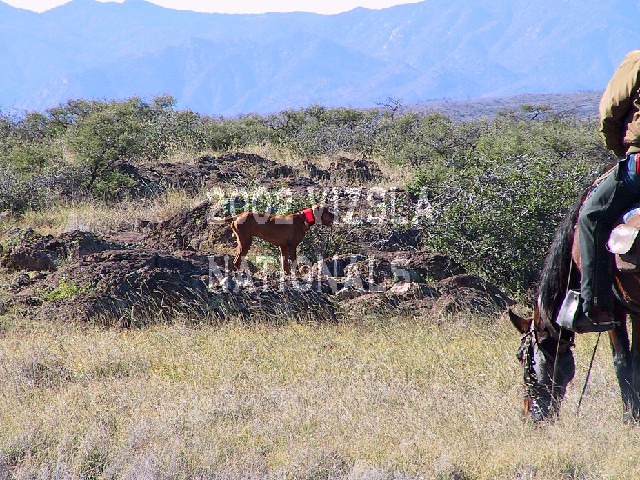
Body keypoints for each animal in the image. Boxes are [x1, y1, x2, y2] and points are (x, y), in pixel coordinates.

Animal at [508, 185, 640, 423]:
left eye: (521, 356)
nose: (527, 414)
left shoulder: (614, 312)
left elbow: (622, 362)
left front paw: (629, 418)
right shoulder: (636, 311)